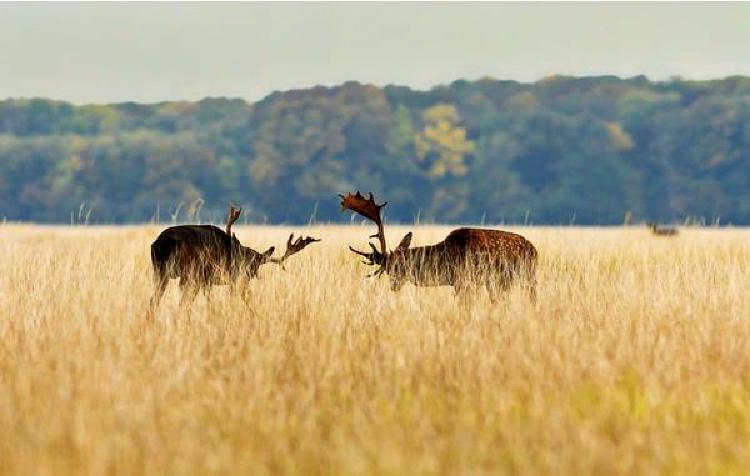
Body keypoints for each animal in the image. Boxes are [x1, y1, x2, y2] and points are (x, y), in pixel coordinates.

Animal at [150, 206, 320, 306]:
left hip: (161, 271)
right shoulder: (220, 276)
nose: (249, 277)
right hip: (189, 272)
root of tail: (160, 243)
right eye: (253, 266)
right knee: (181, 301)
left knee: (155, 300)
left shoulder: (210, 281)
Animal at [338, 190, 536, 302]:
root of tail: (534, 250)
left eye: (399, 266)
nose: (393, 286)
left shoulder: (463, 280)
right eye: (388, 270)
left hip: (525, 277)